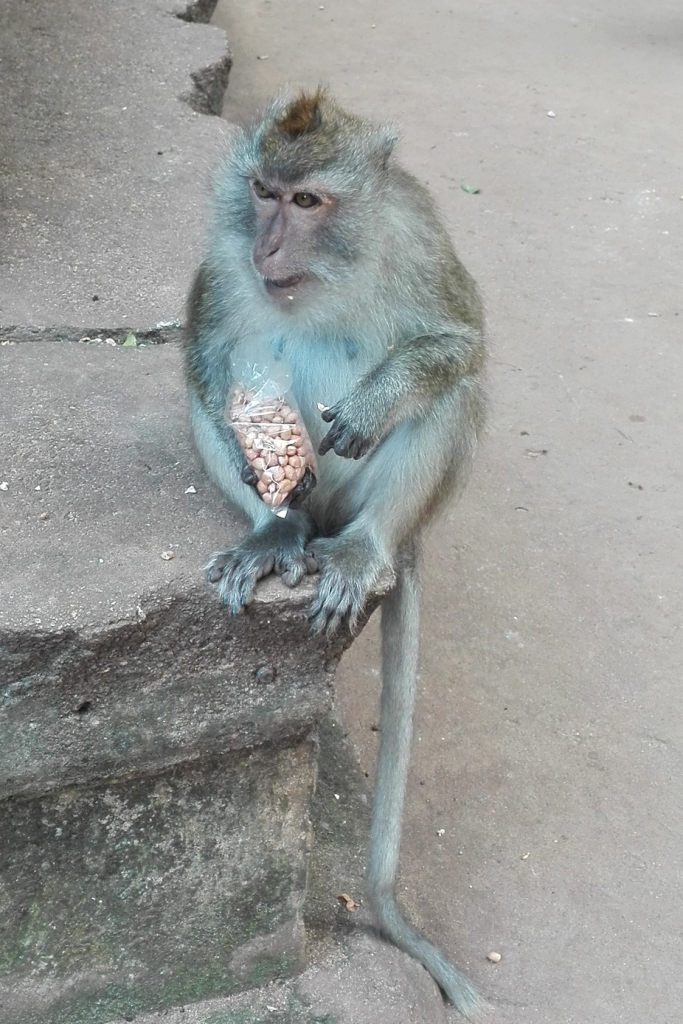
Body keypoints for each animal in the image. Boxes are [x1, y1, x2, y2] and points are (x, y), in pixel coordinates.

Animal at [184, 90, 489, 1024]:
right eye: (260, 191)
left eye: (308, 201)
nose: (266, 245)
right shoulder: (221, 261)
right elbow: (204, 357)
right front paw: (258, 472)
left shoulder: (419, 242)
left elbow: (458, 344)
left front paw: (379, 396)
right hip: (307, 495)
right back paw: (276, 529)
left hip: (376, 506)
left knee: (449, 395)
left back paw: (363, 552)